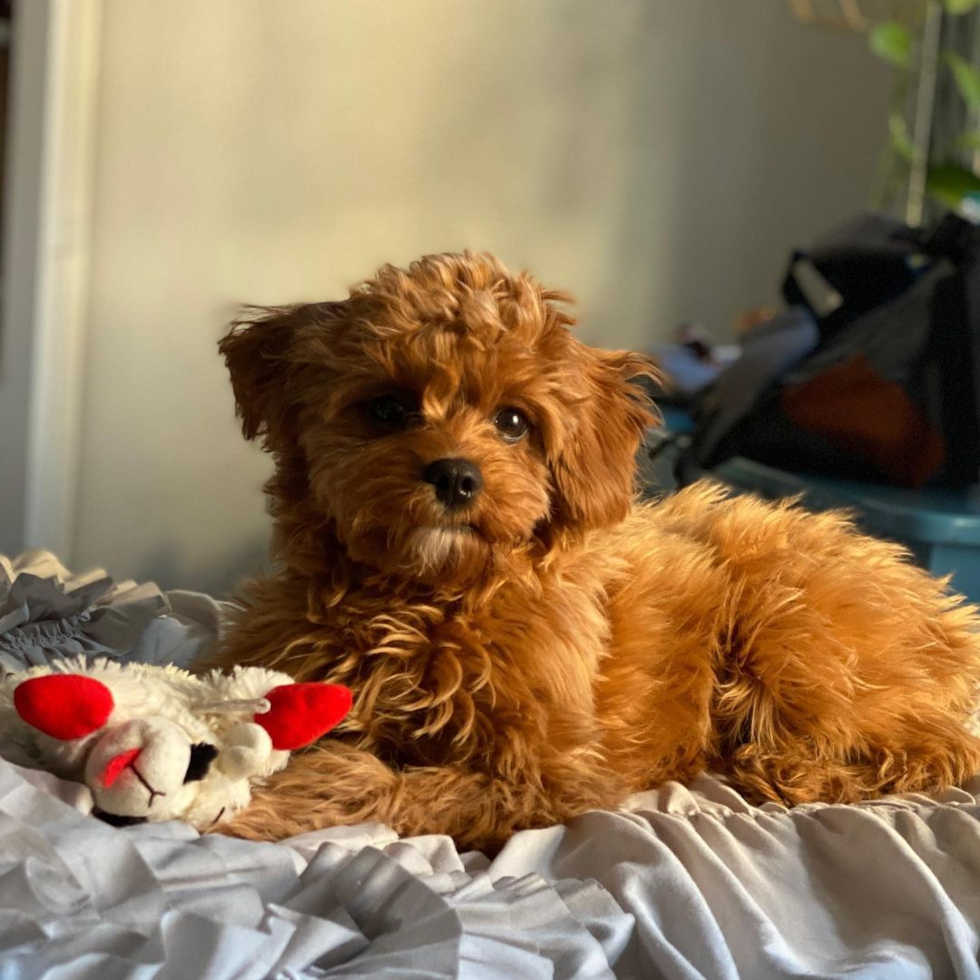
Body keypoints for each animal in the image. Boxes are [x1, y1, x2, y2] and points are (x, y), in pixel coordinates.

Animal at [212, 253, 980, 848]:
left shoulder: (554, 776)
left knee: (943, 750)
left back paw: (799, 771)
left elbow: (387, 785)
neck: (425, 603)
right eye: (387, 408)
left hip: (788, 623)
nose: (456, 475)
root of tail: (948, 614)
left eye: (513, 421)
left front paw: (270, 804)